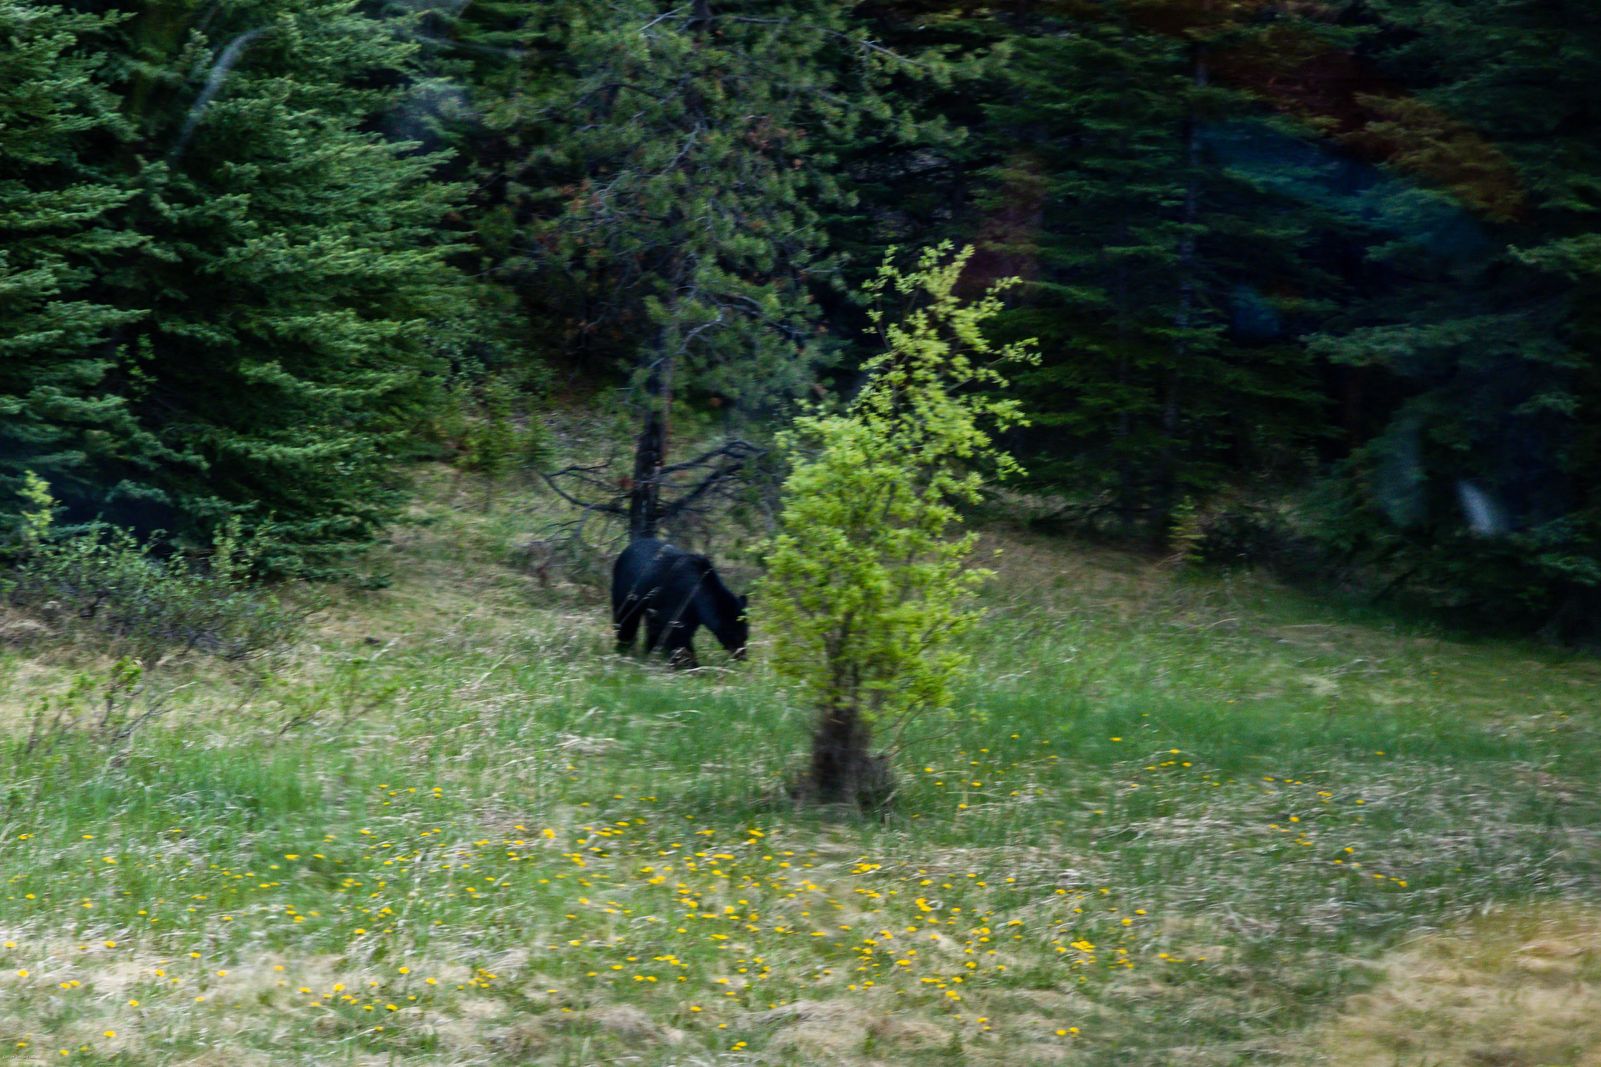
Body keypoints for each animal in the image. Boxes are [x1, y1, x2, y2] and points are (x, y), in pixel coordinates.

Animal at [608, 541, 746, 666]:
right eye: (733, 634)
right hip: (627, 590)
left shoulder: (691, 612)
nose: (742, 656)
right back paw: (624, 647)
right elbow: (678, 633)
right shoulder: (678, 600)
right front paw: (690, 664)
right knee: (627, 618)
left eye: (746, 635)